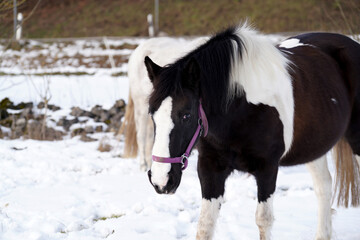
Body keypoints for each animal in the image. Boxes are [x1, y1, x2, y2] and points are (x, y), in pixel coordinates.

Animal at [144, 23, 360, 240]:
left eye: (186, 115)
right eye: (151, 113)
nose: (161, 180)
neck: (240, 109)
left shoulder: (267, 168)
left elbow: (263, 220)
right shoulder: (210, 168)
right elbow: (205, 225)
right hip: (314, 147)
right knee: (324, 187)